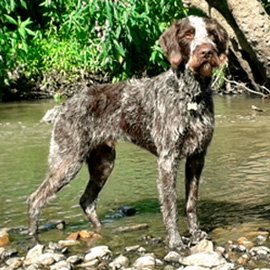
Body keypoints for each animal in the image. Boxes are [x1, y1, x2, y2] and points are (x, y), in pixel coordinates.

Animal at [28, 14, 228, 251]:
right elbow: (170, 206)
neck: (191, 95)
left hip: (103, 164)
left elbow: (191, 203)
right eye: (188, 35)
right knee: (35, 199)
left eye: (212, 34)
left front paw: (196, 234)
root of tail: (63, 107)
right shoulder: (168, 159)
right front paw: (175, 242)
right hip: (67, 162)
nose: (206, 51)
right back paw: (32, 237)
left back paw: (100, 230)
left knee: (86, 200)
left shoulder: (197, 157)